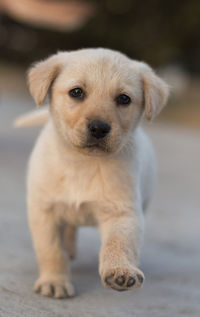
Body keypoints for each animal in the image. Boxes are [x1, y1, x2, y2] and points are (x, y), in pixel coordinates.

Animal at [19, 48, 169, 298]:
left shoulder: (123, 212)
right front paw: (54, 281)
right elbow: (51, 250)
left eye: (124, 99)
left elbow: (118, 243)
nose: (99, 128)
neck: (83, 163)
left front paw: (121, 271)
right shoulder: (44, 209)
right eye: (76, 92)